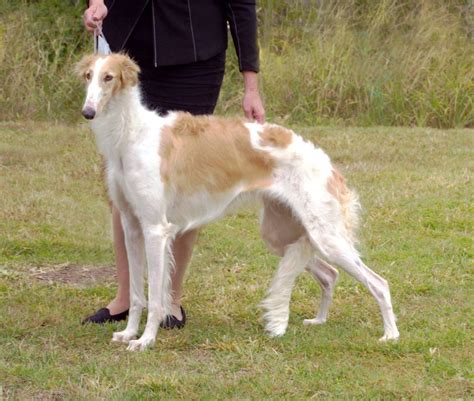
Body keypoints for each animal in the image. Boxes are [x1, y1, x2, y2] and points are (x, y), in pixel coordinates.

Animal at [76, 53, 398, 350]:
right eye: (89, 76)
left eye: (109, 77)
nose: (87, 112)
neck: (131, 135)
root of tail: (328, 164)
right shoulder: (132, 225)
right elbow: (135, 294)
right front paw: (129, 333)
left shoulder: (155, 228)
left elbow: (154, 296)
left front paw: (145, 340)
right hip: (282, 235)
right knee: (330, 275)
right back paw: (319, 320)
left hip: (326, 236)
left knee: (379, 283)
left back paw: (390, 335)